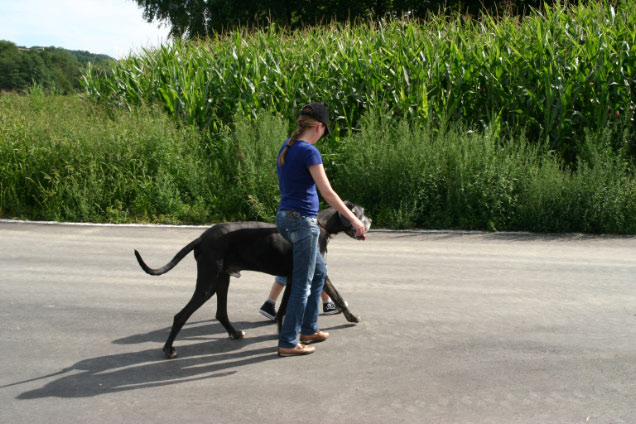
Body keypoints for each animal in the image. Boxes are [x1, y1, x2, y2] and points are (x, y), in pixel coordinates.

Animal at [134, 201, 371, 358]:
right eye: (361, 213)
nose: (369, 221)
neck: (322, 226)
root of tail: (201, 238)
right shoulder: (299, 277)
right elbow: (298, 306)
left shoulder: (302, 276)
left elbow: (325, 297)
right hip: (208, 282)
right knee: (181, 315)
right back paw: (168, 349)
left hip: (222, 279)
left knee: (220, 312)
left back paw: (234, 332)